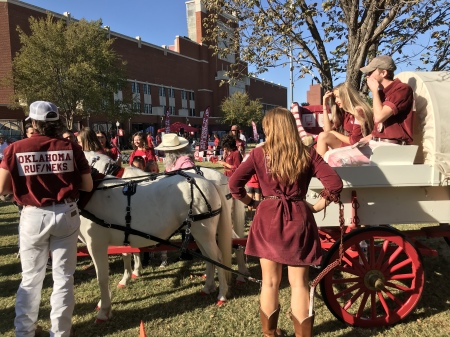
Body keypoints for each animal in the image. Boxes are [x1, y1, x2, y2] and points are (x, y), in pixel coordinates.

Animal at [78, 152, 232, 320]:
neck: (93, 193)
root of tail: (210, 182)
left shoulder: (96, 244)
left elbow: (102, 277)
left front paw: (104, 310)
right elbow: (126, 255)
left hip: (204, 232)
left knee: (217, 258)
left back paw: (222, 294)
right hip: (199, 233)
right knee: (208, 257)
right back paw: (208, 287)